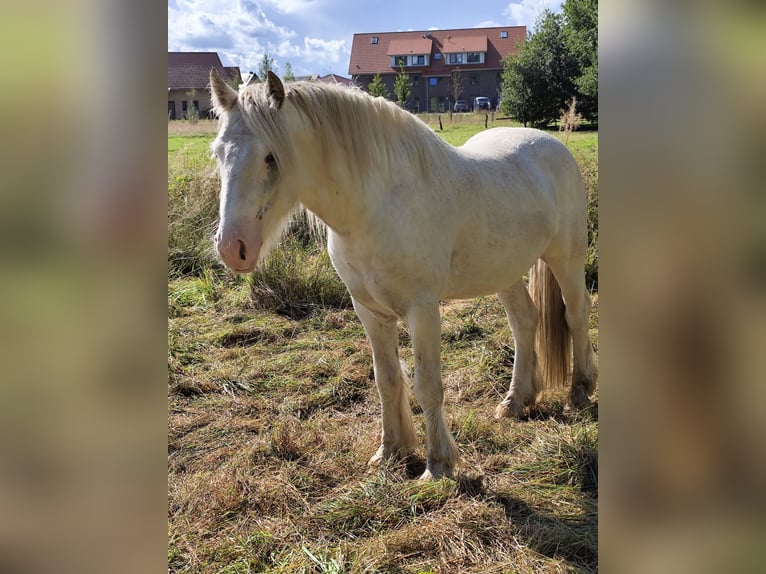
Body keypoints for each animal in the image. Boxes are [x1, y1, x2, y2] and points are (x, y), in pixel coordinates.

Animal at [210, 68, 600, 482]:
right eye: (219, 153)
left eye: (271, 157)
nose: (232, 247)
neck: (373, 208)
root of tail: (552, 143)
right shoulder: (369, 310)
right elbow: (387, 379)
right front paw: (391, 451)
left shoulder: (422, 309)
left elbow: (427, 385)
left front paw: (438, 464)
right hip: (504, 272)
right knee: (525, 321)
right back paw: (516, 401)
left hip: (566, 259)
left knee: (576, 315)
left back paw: (579, 392)